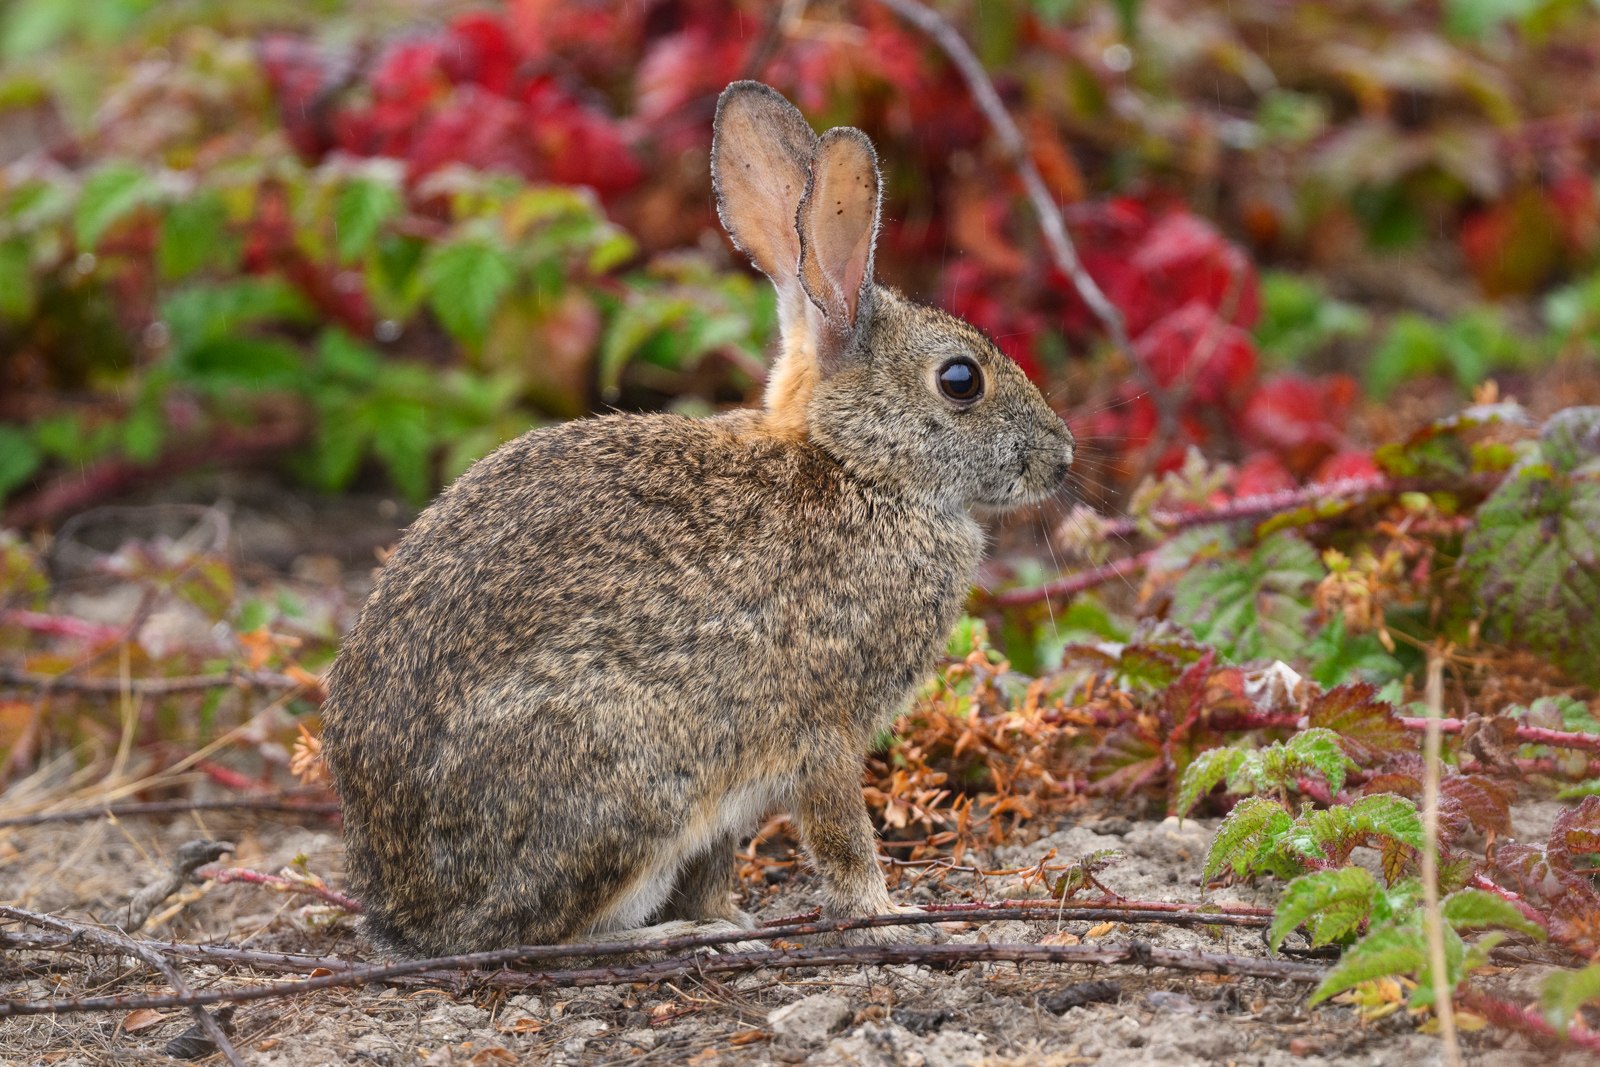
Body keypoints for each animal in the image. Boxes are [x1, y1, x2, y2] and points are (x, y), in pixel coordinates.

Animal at [318, 80, 1076, 959]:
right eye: (961, 381)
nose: (1062, 456)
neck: (852, 466)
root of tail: (403, 905)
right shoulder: (820, 730)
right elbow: (841, 835)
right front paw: (887, 911)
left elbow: (719, 862)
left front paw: (733, 912)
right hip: (627, 780)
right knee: (540, 934)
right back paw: (666, 937)